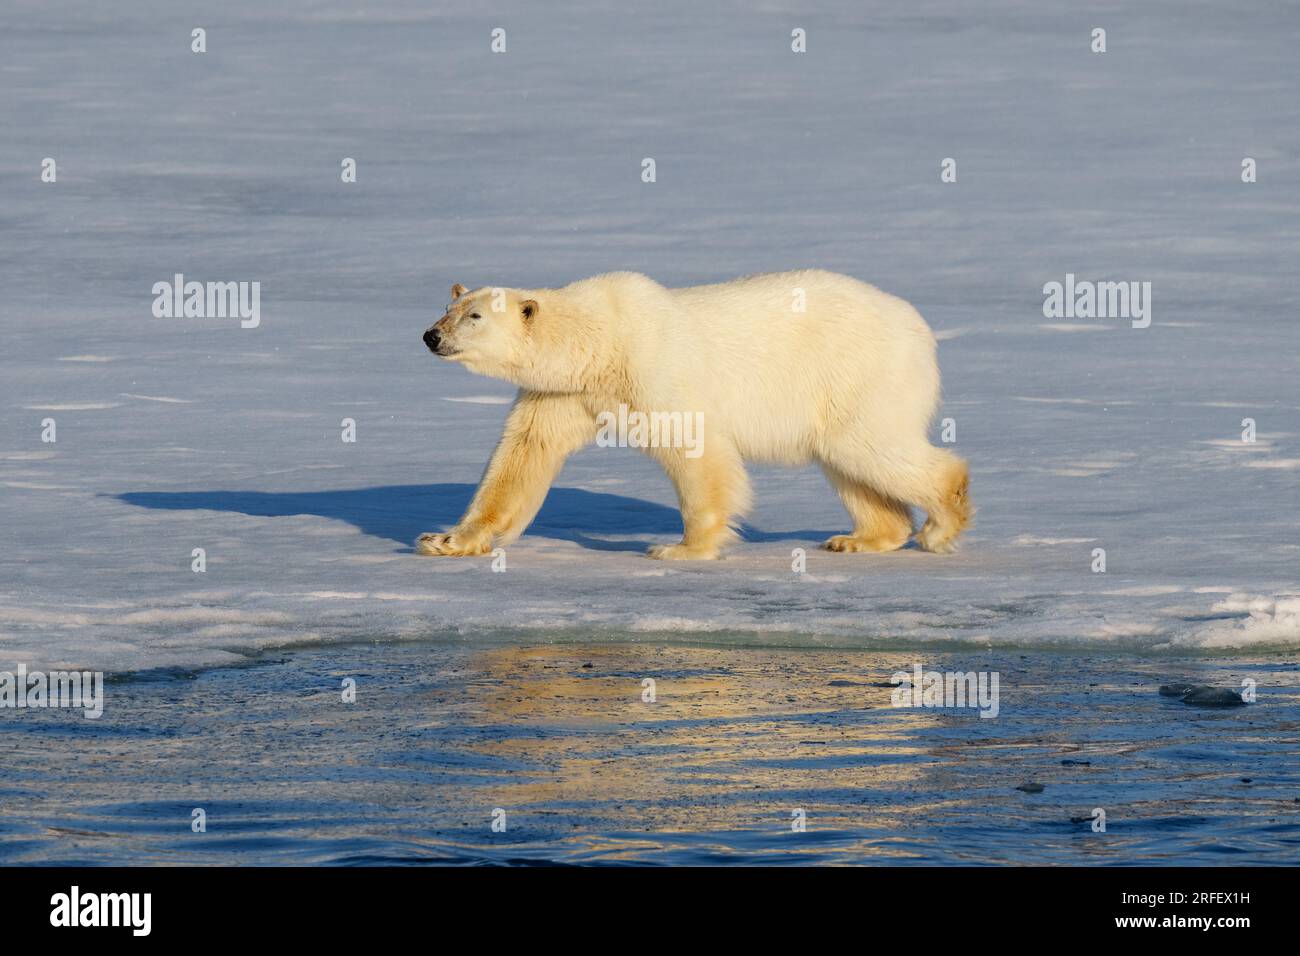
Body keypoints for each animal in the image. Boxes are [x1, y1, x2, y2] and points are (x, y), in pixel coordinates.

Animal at [421, 270, 972, 561]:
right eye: (448, 309)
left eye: (474, 316)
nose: (430, 336)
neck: (601, 337)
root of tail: (920, 328)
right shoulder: (562, 391)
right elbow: (523, 455)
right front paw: (445, 538)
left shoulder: (653, 367)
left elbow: (696, 447)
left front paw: (680, 549)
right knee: (847, 462)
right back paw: (860, 538)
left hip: (860, 373)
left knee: (870, 446)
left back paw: (939, 525)